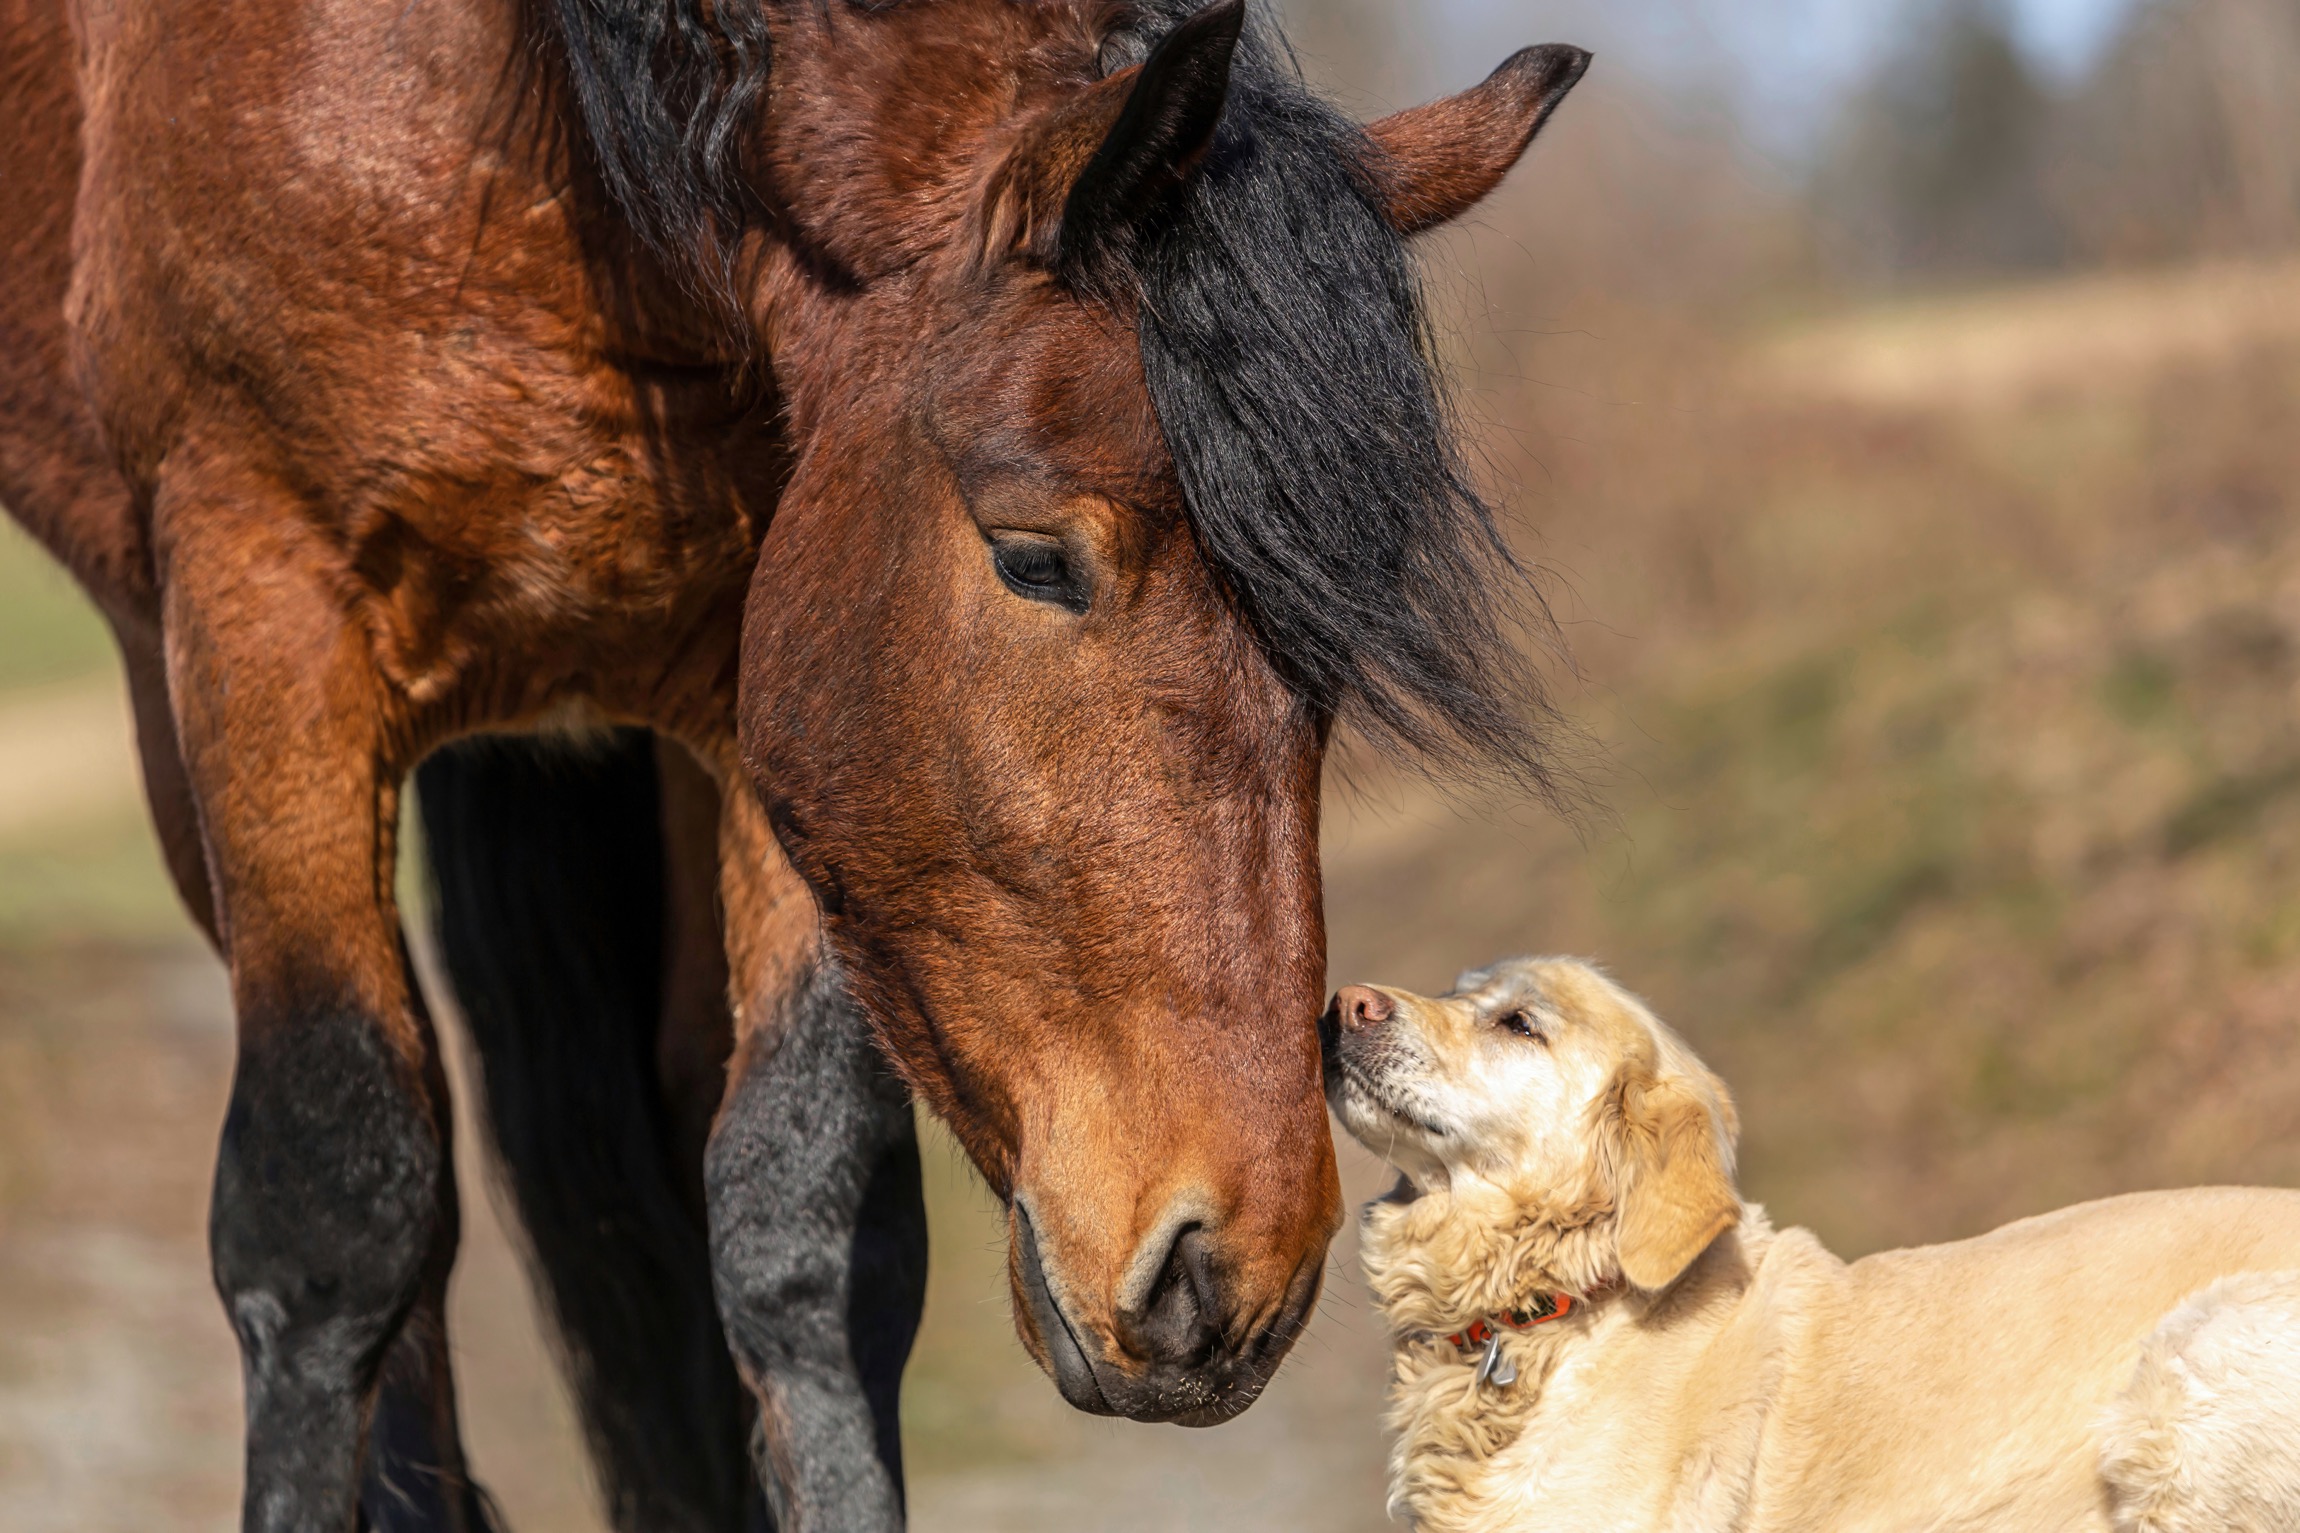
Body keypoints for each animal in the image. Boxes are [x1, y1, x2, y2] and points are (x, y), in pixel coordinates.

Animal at [0, 0, 1587, 1525]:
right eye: (1032, 558)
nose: (1231, 1275)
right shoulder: (267, 623)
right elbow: (334, 1214)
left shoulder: (764, 699)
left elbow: (806, 1235)